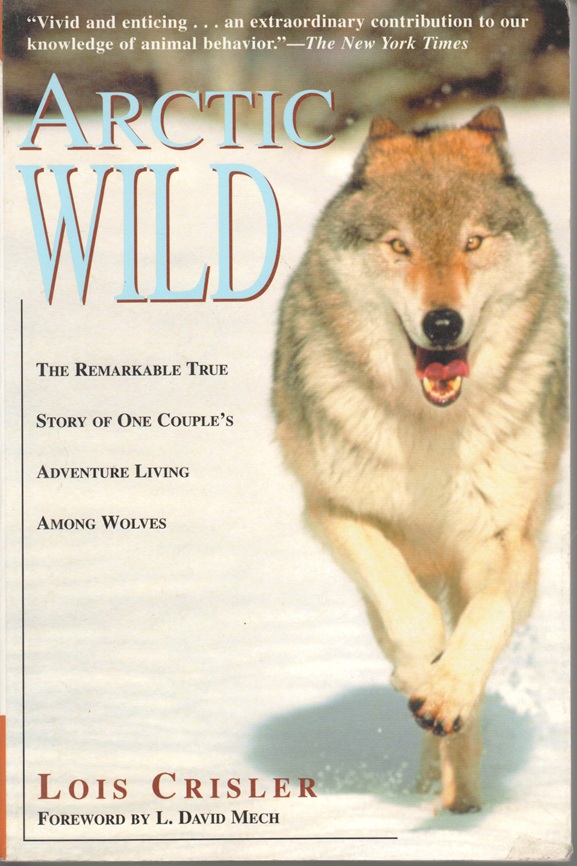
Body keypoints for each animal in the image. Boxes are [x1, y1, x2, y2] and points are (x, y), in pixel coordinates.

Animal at [273, 107, 567, 813]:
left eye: (473, 242)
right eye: (399, 246)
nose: (441, 324)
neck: (432, 431)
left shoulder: (507, 539)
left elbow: (483, 624)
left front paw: (447, 690)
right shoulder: (336, 512)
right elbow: (409, 617)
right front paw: (421, 668)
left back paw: (461, 801)